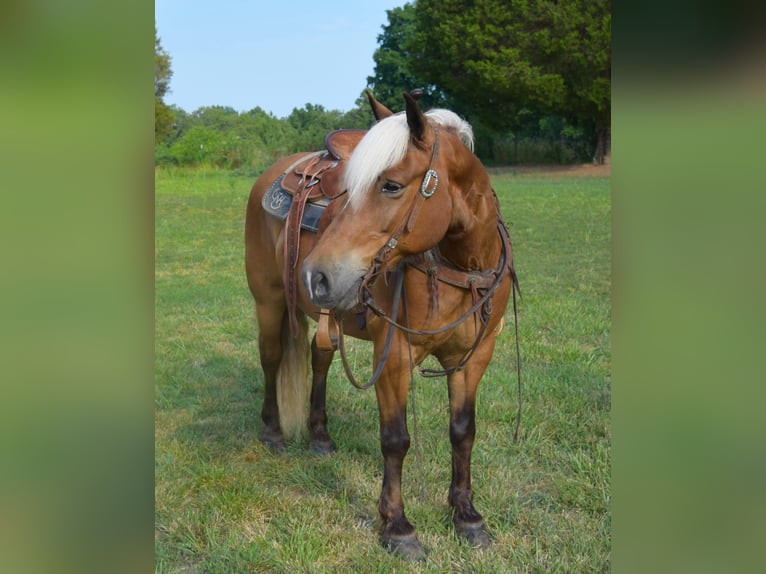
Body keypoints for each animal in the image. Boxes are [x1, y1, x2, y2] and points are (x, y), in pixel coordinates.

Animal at [246, 92, 520, 560]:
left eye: (391, 185)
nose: (316, 275)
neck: (463, 265)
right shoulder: (393, 356)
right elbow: (395, 439)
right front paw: (398, 526)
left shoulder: (474, 357)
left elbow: (463, 431)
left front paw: (467, 515)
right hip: (270, 302)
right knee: (272, 358)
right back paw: (274, 431)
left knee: (320, 358)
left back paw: (320, 436)